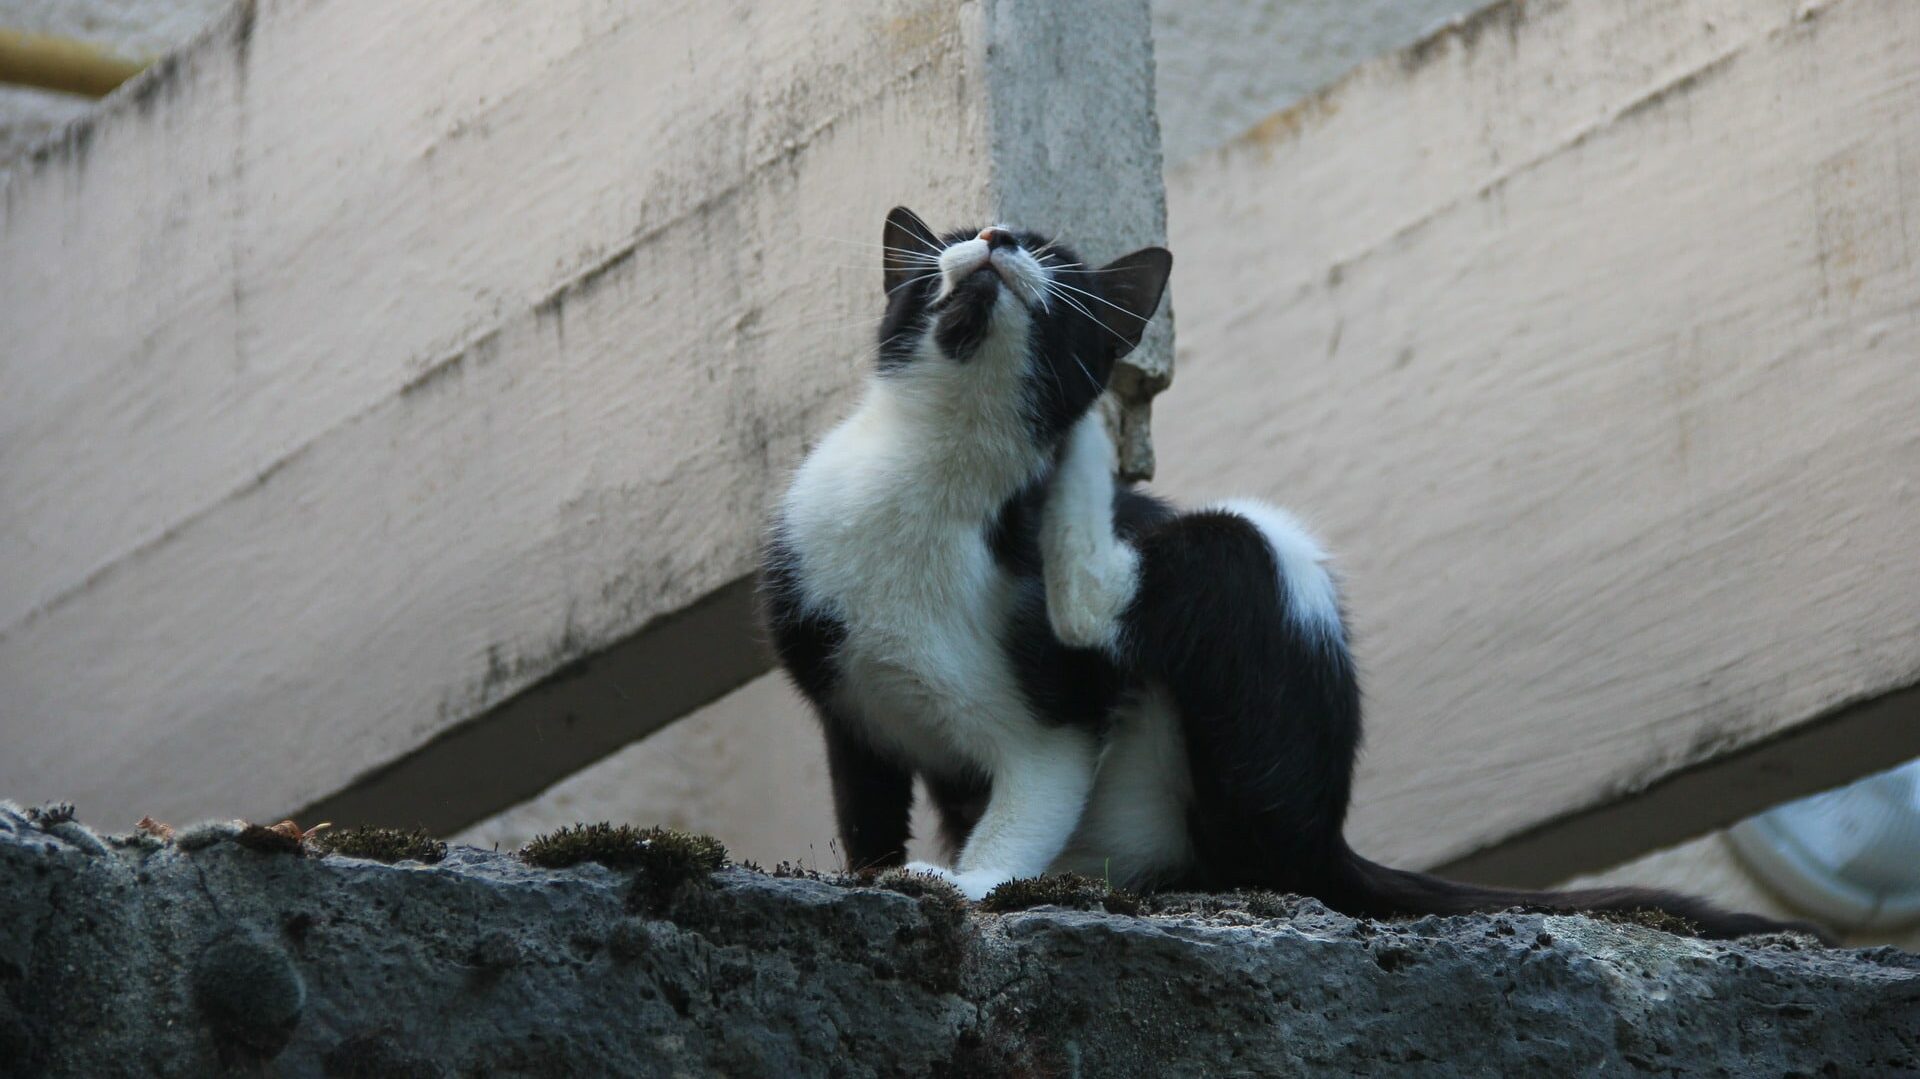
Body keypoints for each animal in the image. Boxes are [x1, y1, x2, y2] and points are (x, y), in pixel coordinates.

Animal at [760, 205, 1812, 936]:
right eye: (947, 243)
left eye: (1048, 252)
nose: (991, 236)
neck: (938, 472)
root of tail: (1328, 838)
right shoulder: (843, 695)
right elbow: (866, 805)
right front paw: (878, 871)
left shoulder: (1052, 721)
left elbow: (1027, 799)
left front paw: (965, 881)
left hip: (1257, 576)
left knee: (1154, 593)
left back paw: (1091, 449)